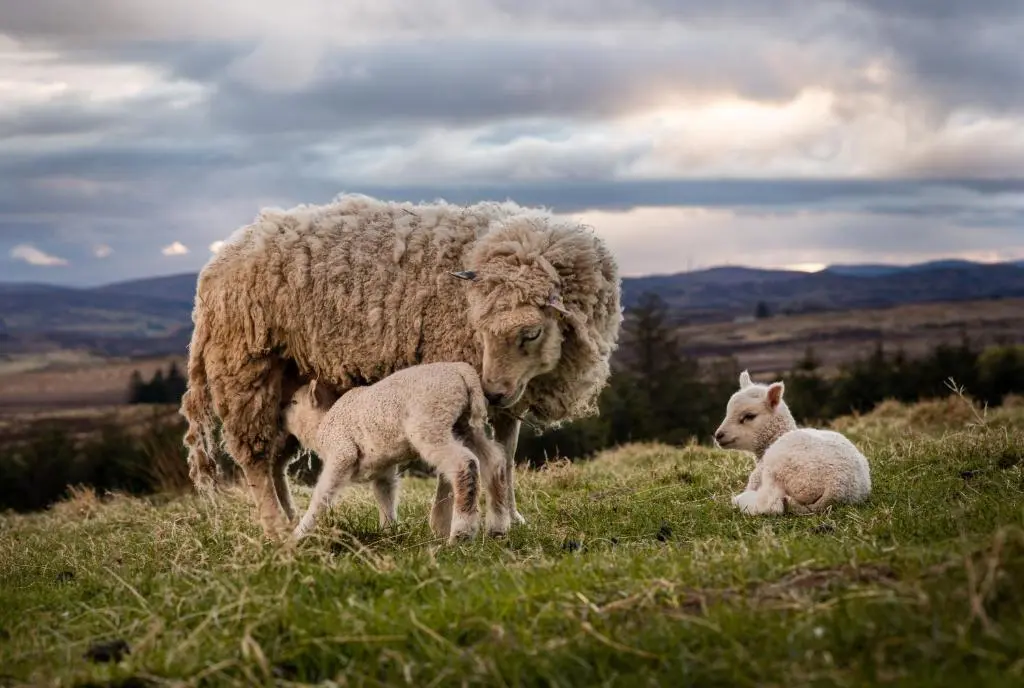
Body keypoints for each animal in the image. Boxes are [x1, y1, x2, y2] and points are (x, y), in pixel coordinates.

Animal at [283, 362, 511, 544]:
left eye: (294, 402)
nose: (280, 417)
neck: (322, 422)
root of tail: (461, 370)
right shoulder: (383, 467)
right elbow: (385, 495)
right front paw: (388, 532)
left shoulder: (341, 452)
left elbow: (321, 496)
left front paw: (299, 534)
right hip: (463, 426)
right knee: (494, 462)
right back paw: (498, 527)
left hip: (430, 421)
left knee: (465, 464)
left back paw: (461, 534)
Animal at [713, 370, 871, 515]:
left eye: (749, 416)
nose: (718, 435)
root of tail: (836, 488)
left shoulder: (758, 476)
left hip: (779, 469)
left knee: (772, 504)